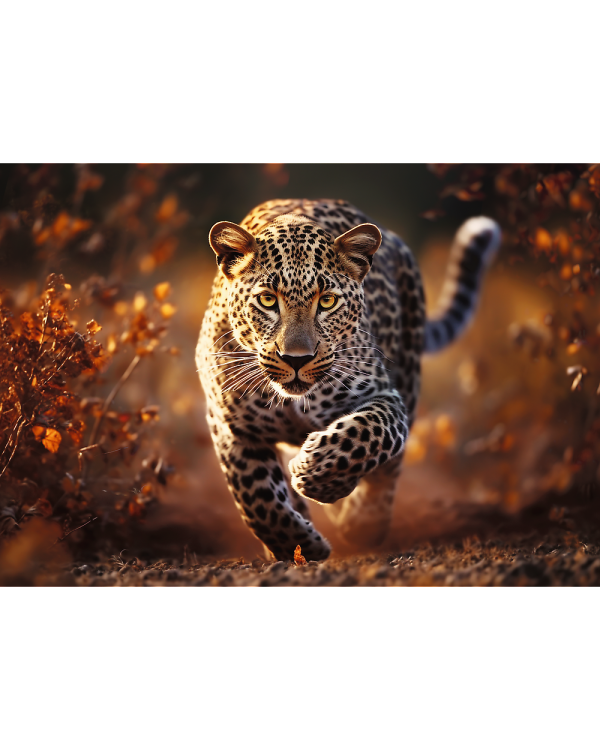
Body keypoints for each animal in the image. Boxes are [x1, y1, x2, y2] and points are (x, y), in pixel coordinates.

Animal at [196, 198, 501, 561]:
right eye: (267, 300)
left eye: (327, 301)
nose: (296, 359)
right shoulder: (230, 426)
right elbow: (256, 497)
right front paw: (298, 545)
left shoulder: (385, 396)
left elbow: (369, 434)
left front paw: (317, 473)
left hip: (409, 373)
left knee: (388, 470)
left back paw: (363, 521)